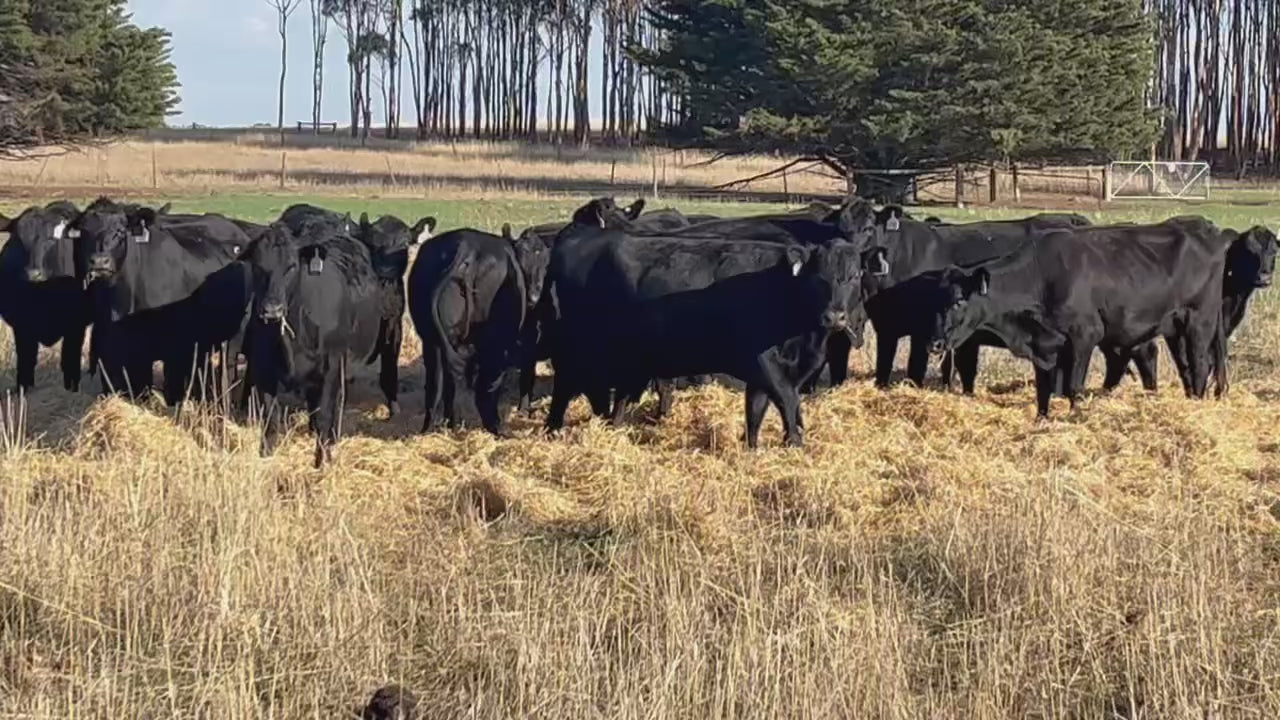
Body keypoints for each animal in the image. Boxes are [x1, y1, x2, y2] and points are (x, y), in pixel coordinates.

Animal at [0, 201, 91, 392]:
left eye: (51, 240)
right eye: (18, 240)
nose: (33, 274)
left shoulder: (75, 326)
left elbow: (70, 360)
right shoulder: (22, 326)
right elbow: (26, 361)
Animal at [242, 220, 382, 467]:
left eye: (291, 266)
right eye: (258, 266)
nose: (271, 309)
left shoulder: (332, 366)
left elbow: (324, 414)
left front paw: (322, 462)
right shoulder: (263, 370)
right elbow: (270, 418)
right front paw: (266, 457)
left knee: (334, 405)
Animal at [408, 226, 549, 436]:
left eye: (545, 264)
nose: (533, 296)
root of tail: (467, 246)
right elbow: (526, 377)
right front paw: (524, 410)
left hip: (432, 339)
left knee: (439, 383)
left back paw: (439, 425)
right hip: (493, 341)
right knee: (485, 388)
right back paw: (498, 428)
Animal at [543, 228, 884, 447]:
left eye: (854, 275)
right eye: (818, 276)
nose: (834, 317)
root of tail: (576, 237)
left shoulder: (765, 372)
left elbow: (756, 410)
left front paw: (753, 448)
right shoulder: (763, 361)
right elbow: (787, 399)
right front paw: (795, 443)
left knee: (611, 398)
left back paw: (610, 428)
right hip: (579, 351)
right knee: (565, 389)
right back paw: (552, 431)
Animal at [935, 217, 1233, 417]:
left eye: (959, 301)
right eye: (938, 301)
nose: (937, 343)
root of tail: (1205, 229)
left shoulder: (1084, 335)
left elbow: (1072, 386)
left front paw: (1075, 416)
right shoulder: (1043, 346)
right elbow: (1043, 390)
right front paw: (1043, 420)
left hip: (1199, 321)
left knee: (1200, 365)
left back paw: (1197, 405)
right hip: (1174, 327)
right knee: (1184, 366)